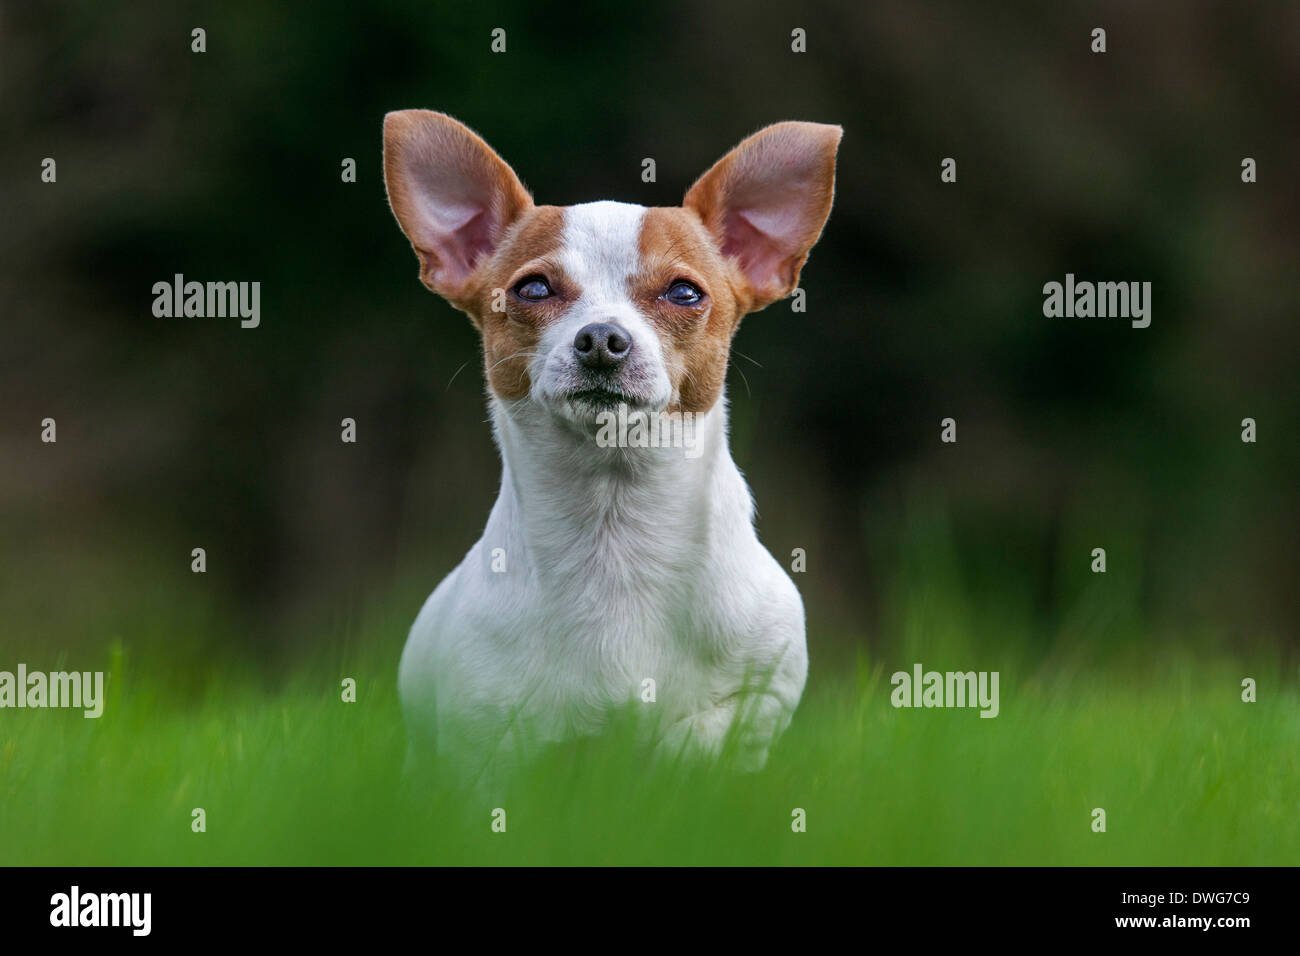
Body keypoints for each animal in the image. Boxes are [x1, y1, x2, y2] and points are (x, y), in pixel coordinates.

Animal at [379, 111, 837, 780]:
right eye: (533, 289)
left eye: (684, 293)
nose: (601, 338)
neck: (613, 526)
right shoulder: (485, 739)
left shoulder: (760, 695)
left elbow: (705, 738)